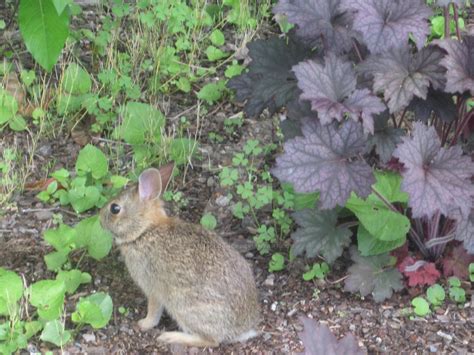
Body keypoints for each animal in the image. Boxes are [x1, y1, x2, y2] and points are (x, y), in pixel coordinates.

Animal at [100, 163, 262, 348]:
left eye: (115, 208)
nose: (99, 217)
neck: (144, 230)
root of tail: (242, 331)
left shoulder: (152, 287)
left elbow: (154, 310)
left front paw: (143, 324)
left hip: (184, 306)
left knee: (211, 341)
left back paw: (171, 337)